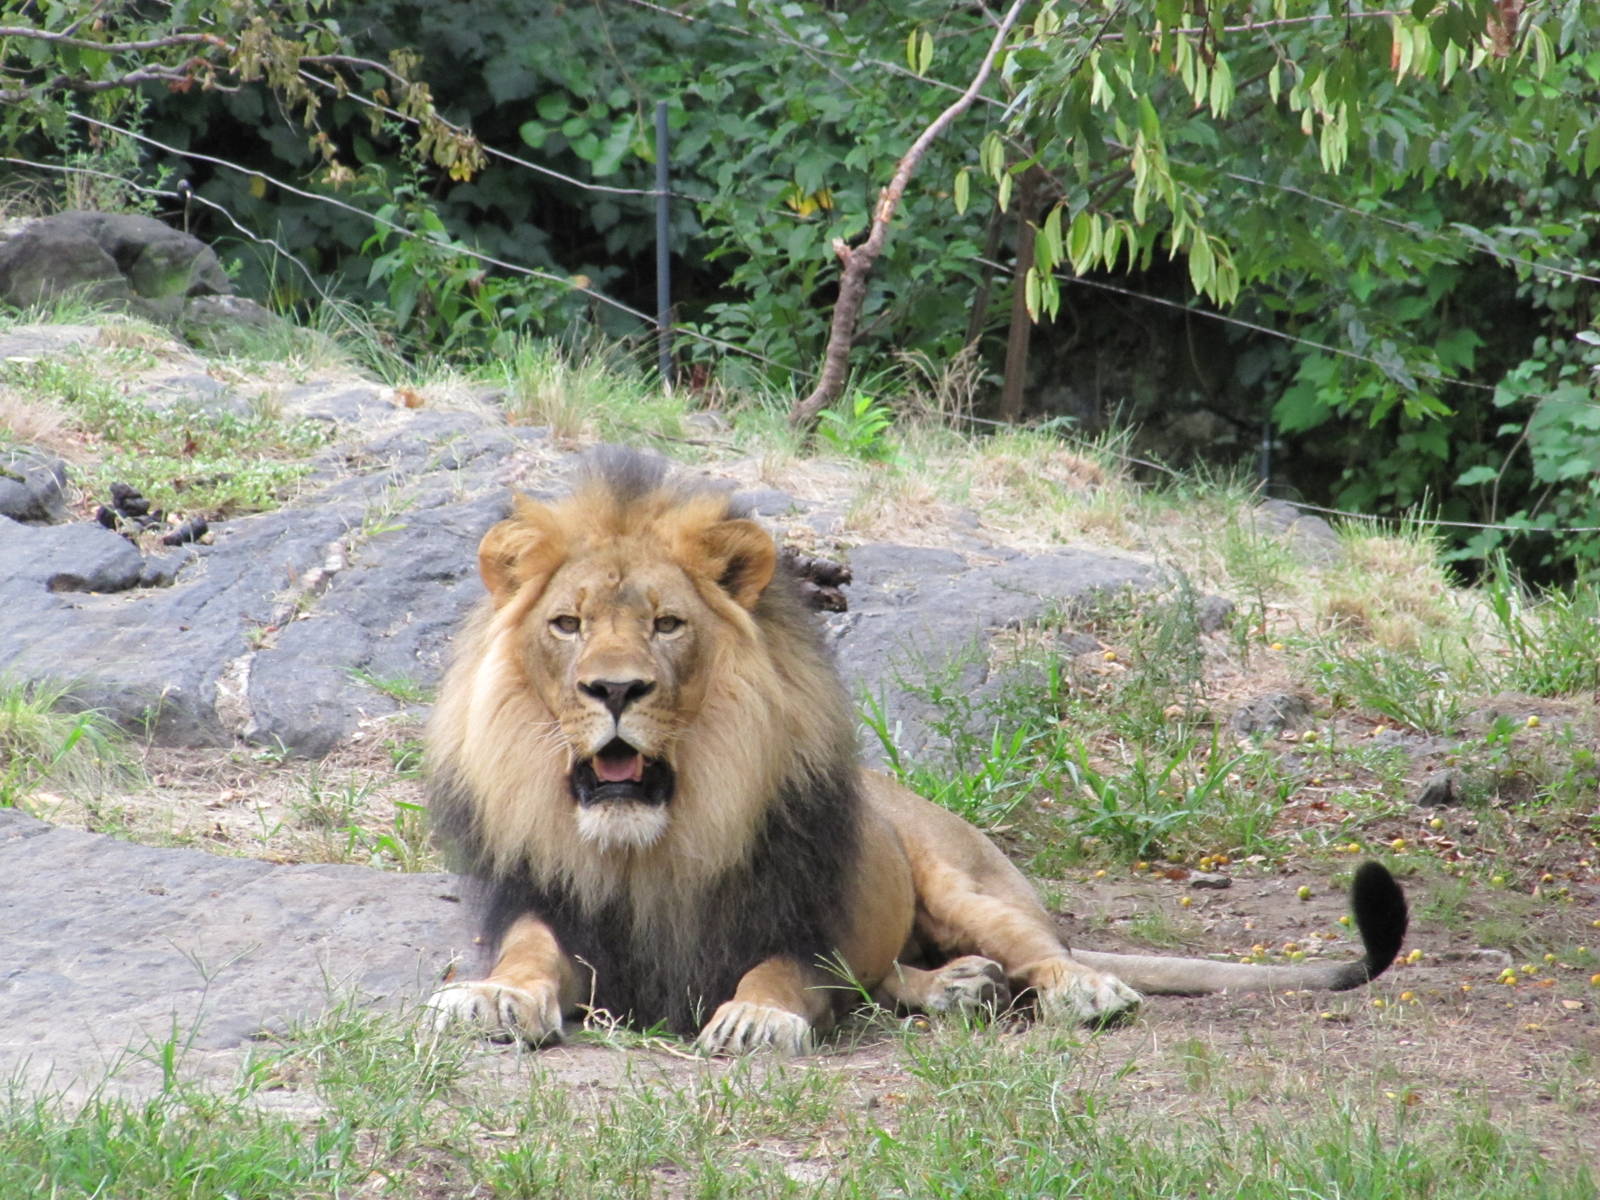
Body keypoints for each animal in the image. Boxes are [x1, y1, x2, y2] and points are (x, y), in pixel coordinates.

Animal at [425, 450, 1408, 1055]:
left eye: (667, 625)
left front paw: (753, 1020)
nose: (615, 690)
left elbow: (778, 970)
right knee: (899, 976)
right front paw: (491, 999)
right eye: (568, 624)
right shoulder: (552, 908)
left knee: (1041, 951)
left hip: (968, 881)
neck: (652, 844)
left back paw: (1076, 990)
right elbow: (526, 957)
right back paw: (958, 988)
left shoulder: (800, 923)